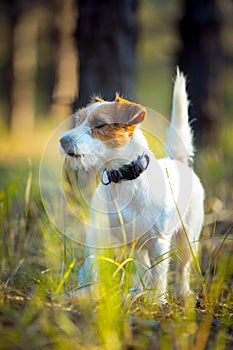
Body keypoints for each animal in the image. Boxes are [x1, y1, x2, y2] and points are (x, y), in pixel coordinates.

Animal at [59, 69, 204, 300]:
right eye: (78, 120)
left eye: (100, 124)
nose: (63, 141)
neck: (123, 179)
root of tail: (179, 161)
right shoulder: (98, 236)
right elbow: (92, 267)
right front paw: (86, 294)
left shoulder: (159, 242)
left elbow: (159, 275)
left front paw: (157, 301)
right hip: (138, 246)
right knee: (141, 268)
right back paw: (136, 291)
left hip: (188, 238)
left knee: (182, 268)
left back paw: (182, 292)